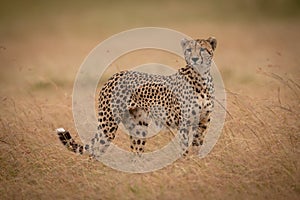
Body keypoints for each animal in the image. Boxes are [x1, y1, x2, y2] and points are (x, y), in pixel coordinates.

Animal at [55, 36, 216, 157]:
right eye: (189, 50)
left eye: (202, 49)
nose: (194, 59)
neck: (201, 77)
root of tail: (114, 75)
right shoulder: (184, 123)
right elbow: (184, 148)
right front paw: (186, 162)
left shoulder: (204, 120)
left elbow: (197, 144)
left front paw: (195, 161)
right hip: (109, 123)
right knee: (95, 152)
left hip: (138, 125)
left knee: (135, 151)